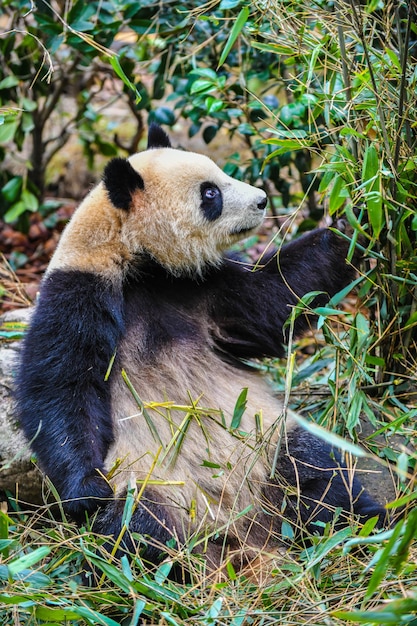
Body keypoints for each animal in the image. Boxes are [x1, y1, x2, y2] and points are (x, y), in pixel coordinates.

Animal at [17, 123, 386, 576]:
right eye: (210, 193)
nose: (262, 200)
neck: (139, 261)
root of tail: (244, 530)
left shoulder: (202, 286)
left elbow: (276, 298)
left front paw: (360, 213)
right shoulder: (79, 291)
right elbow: (60, 387)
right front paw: (87, 489)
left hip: (265, 444)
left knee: (315, 473)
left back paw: (362, 528)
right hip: (154, 481)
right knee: (137, 529)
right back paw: (178, 565)